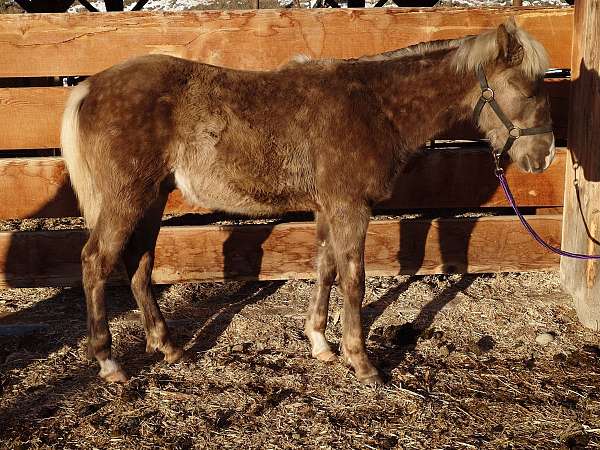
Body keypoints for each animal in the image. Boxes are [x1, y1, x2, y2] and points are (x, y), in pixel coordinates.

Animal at [61, 16, 552, 384]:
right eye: (525, 90)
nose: (543, 155)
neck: (375, 107)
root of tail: (90, 86)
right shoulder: (351, 209)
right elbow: (354, 279)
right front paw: (362, 362)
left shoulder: (327, 209)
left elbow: (325, 269)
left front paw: (320, 344)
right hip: (127, 199)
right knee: (95, 261)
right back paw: (109, 362)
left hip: (152, 198)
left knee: (139, 264)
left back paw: (168, 347)